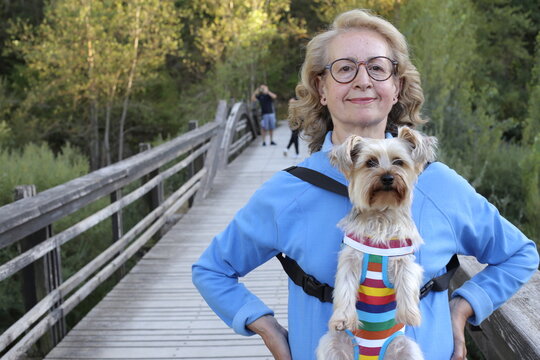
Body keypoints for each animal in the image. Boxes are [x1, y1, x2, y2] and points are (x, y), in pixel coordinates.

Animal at [316, 127, 438, 360]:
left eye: (399, 162)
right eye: (370, 162)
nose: (388, 177)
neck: (381, 213)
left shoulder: (404, 260)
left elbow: (407, 283)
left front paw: (409, 314)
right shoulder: (350, 259)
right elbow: (345, 287)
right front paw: (343, 318)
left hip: (406, 349)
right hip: (331, 346)